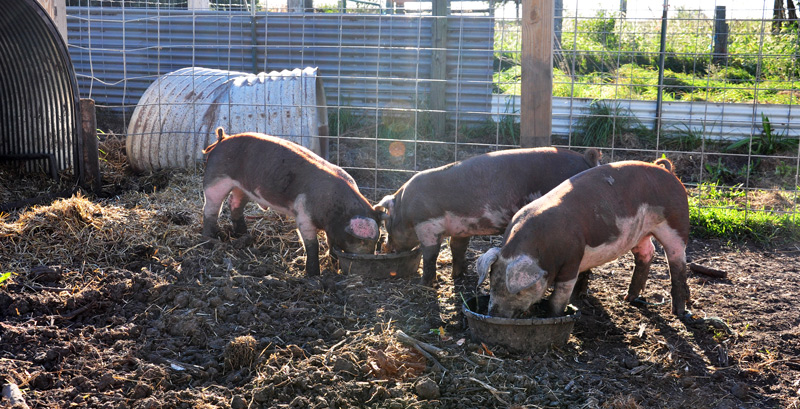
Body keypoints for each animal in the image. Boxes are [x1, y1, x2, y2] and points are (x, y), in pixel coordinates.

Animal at [202, 127, 384, 276]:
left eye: (376, 240)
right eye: (359, 240)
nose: (367, 257)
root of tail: (223, 139)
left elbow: (331, 243)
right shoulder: (303, 216)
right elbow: (312, 245)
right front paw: (313, 275)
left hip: (242, 187)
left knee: (235, 204)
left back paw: (243, 235)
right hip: (216, 180)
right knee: (211, 208)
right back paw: (212, 239)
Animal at [378, 147, 602, 286]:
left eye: (387, 224)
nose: (385, 248)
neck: (405, 208)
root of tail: (586, 159)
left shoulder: (427, 225)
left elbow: (430, 254)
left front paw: (425, 284)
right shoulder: (461, 226)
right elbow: (457, 248)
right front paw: (457, 275)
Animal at [476, 158, 690, 320]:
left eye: (519, 291)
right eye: (492, 282)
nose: (494, 314)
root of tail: (668, 172)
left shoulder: (572, 258)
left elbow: (559, 296)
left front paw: (554, 314)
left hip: (676, 223)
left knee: (677, 262)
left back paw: (679, 312)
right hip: (640, 234)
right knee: (646, 253)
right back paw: (628, 298)